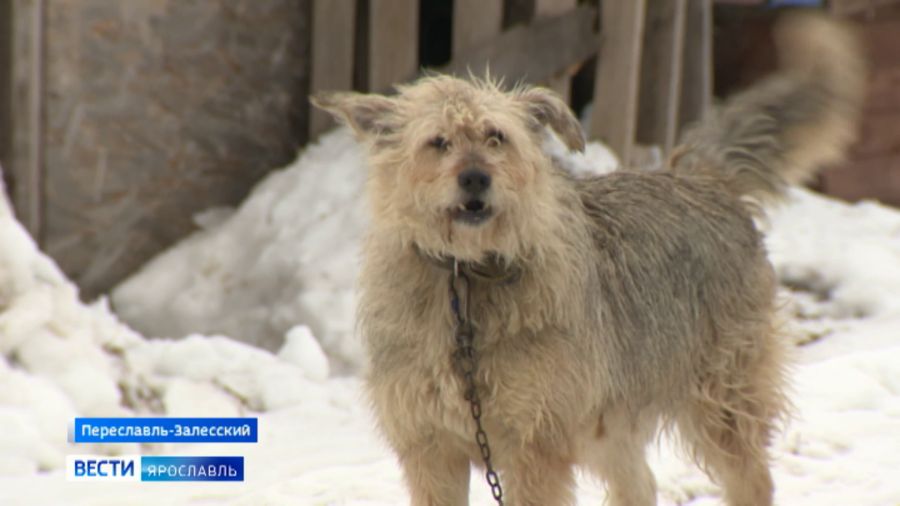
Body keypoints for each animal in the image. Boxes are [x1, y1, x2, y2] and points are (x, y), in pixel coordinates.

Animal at [312, 11, 864, 506]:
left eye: (496, 137)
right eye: (438, 142)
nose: (476, 178)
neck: (465, 280)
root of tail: (703, 179)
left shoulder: (533, 446)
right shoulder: (431, 451)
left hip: (724, 398)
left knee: (751, 480)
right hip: (610, 421)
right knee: (640, 486)